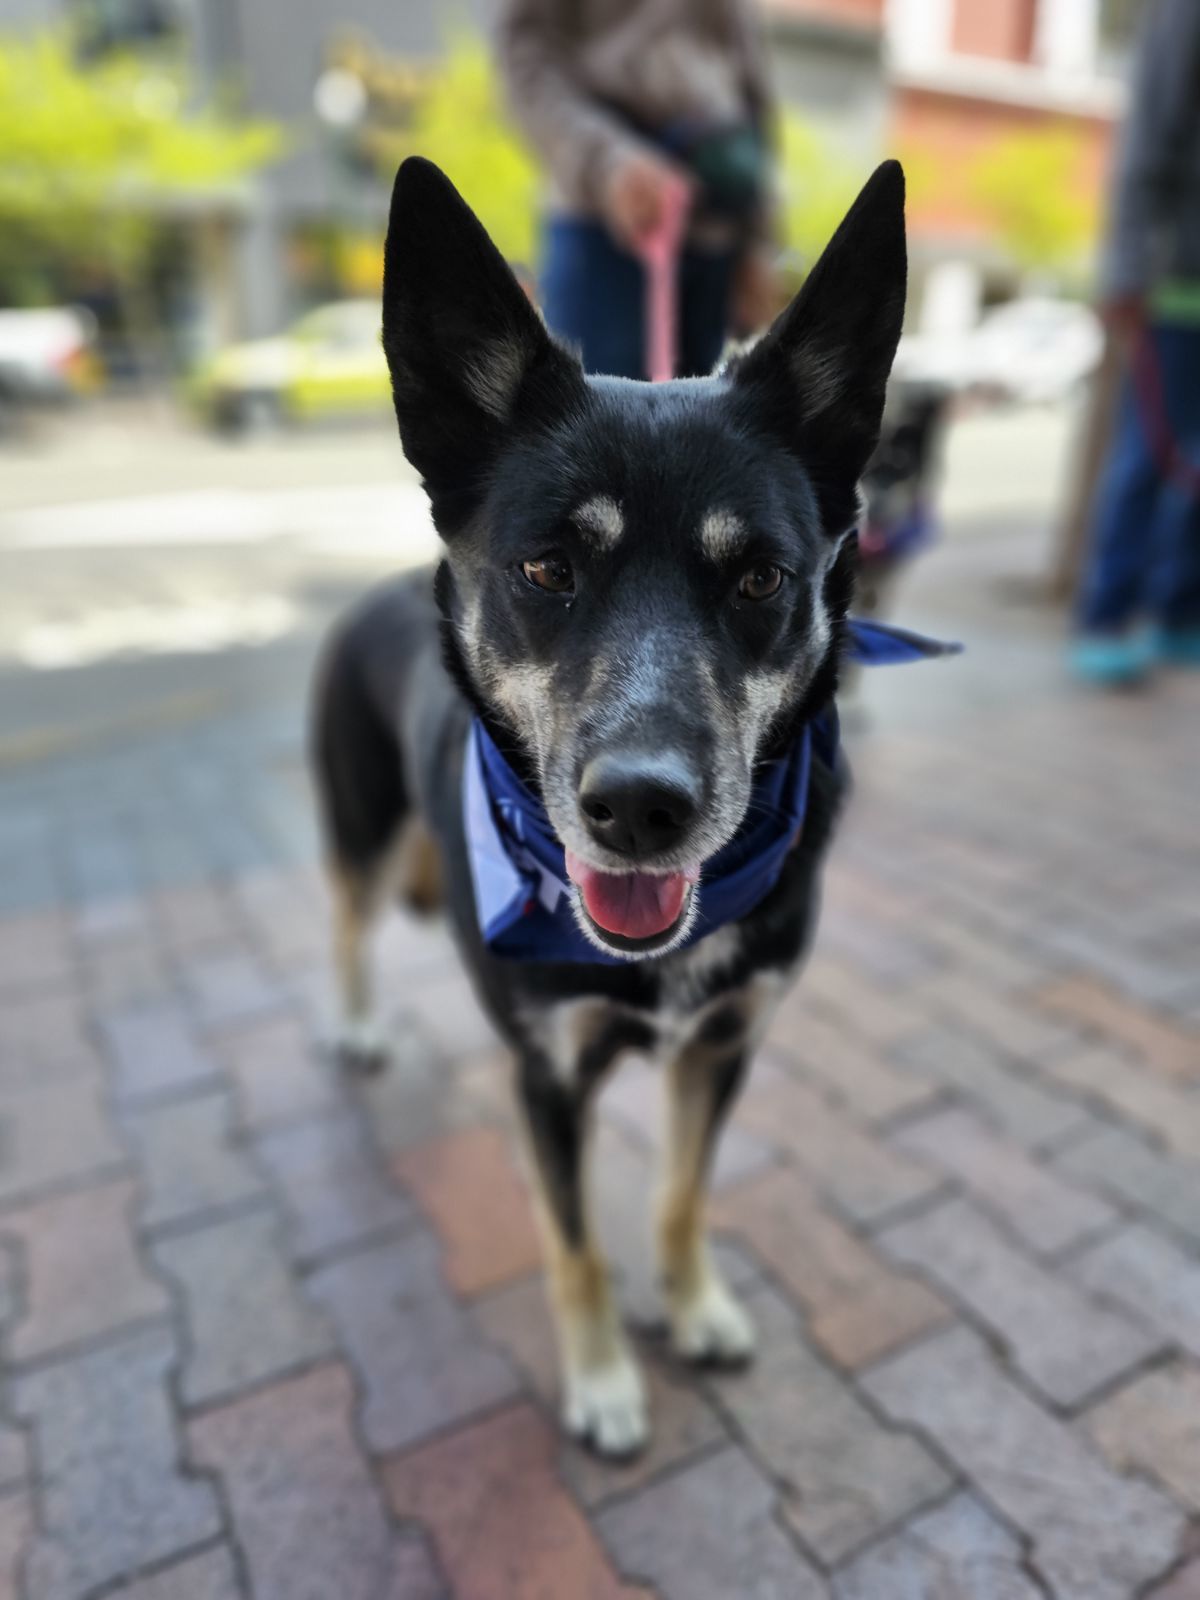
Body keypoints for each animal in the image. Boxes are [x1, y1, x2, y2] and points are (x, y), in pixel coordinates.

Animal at [315, 156, 908, 1459]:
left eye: (760, 578)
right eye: (548, 568)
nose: (641, 810)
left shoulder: (725, 1042)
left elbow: (682, 1194)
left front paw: (694, 1308)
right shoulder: (547, 1078)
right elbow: (574, 1245)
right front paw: (599, 1384)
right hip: (361, 831)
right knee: (348, 929)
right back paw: (361, 1027)